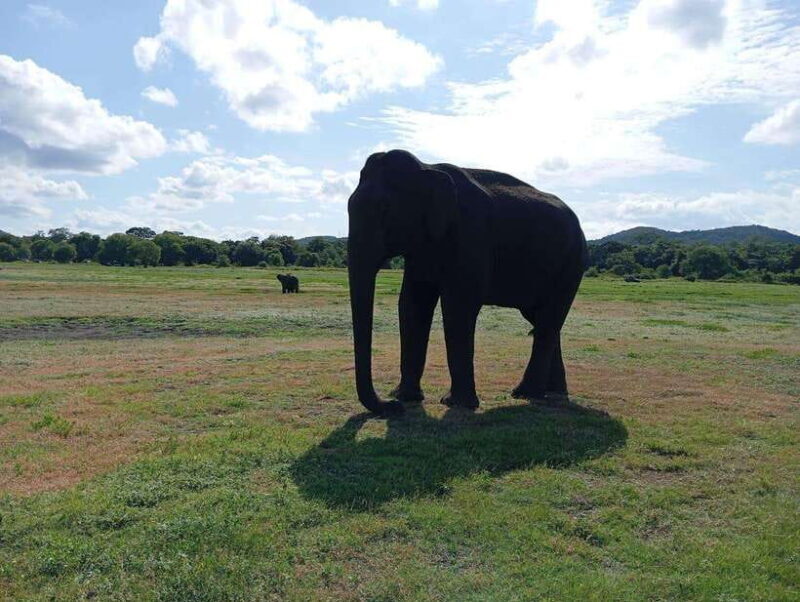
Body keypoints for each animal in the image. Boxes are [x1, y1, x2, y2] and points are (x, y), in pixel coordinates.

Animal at [347, 149, 588, 416]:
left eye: (385, 209)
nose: (391, 406)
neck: (427, 168)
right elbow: (412, 304)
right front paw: (407, 397)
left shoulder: (470, 234)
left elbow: (458, 306)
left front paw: (455, 403)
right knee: (542, 320)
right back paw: (553, 393)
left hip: (571, 265)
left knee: (548, 321)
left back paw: (526, 394)